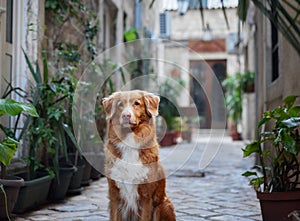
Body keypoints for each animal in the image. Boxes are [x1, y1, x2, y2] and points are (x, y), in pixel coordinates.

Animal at [102, 90, 176, 221]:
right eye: (120, 104)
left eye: (137, 103)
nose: (126, 115)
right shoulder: (114, 195)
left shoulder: (146, 197)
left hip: (162, 205)